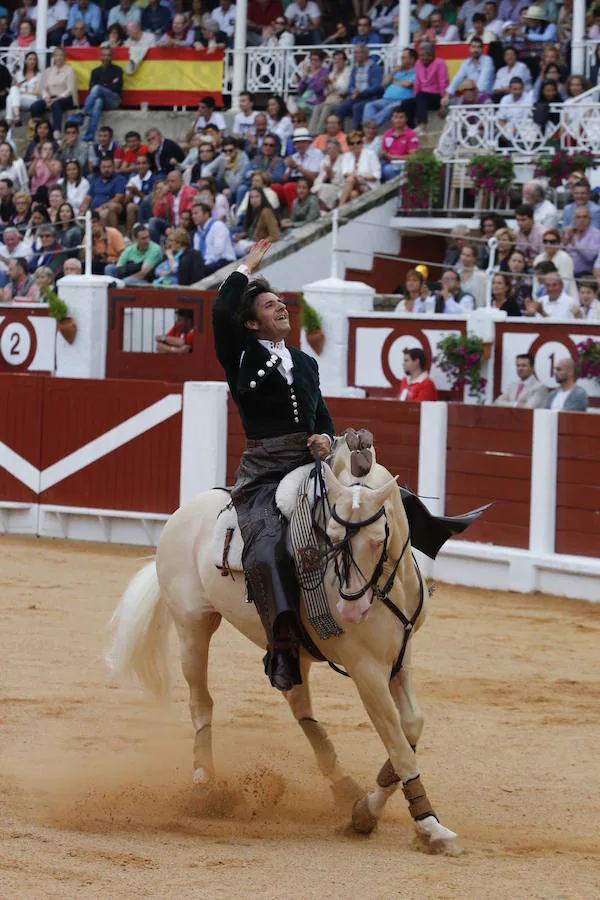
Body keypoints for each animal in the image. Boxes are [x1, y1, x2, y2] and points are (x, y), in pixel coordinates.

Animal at [108, 440, 462, 856]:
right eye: (330, 535)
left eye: (378, 539)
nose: (350, 610)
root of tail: (182, 513)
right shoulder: (366, 669)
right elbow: (399, 745)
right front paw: (428, 825)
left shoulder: (400, 658)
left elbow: (411, 727)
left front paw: (366, 810)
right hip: (192, 627)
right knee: (201, 702)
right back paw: (205, 786)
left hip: (290, 649)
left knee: (299, 705)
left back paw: (343, 786)